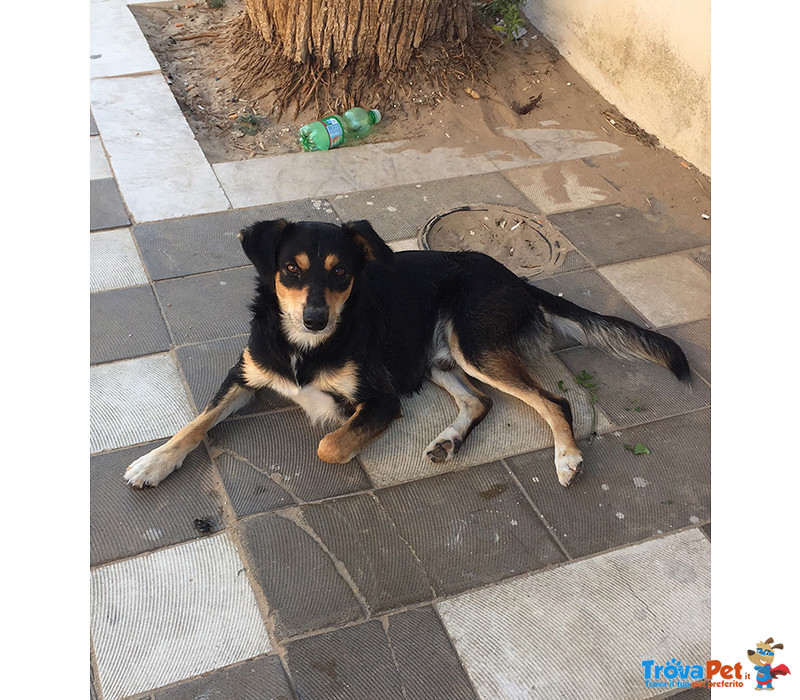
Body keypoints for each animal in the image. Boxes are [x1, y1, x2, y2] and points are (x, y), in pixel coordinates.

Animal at [125, 217, 688, 486]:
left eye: (340, 272)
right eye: (290, 270)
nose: (314, 319)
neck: (305, 346)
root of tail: (515, 278)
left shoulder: (381, 399)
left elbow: (329, 445)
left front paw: (335, 426)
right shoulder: (244, 377)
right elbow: (196, 422)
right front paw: (153, 462)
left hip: (473, 345)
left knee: (554, 401)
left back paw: (567, 458)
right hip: (433, 358)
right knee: (480, 400)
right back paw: (448, 441)